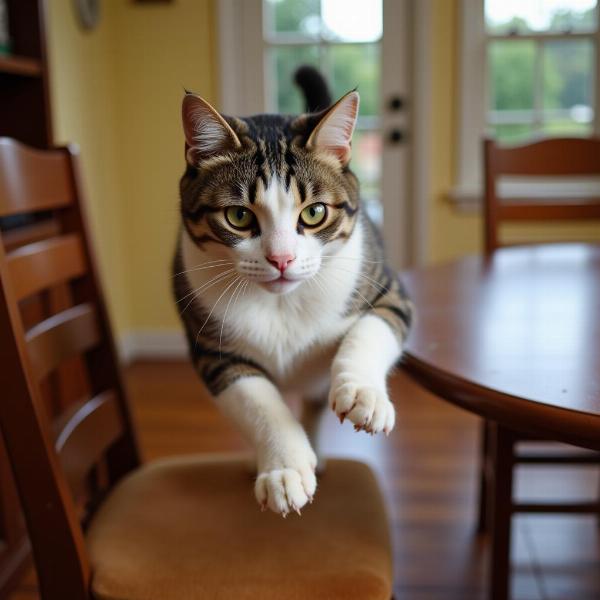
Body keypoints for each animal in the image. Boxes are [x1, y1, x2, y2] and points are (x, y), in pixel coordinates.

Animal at [173, 65, 412, 516]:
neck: (280, 303)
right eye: (238, 216)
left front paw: (363, 392)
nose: (281, 258)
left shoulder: (389, 290)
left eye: (314, 212)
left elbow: (371, 329)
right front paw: (283, 469)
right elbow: (259, 403)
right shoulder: (214, 349)